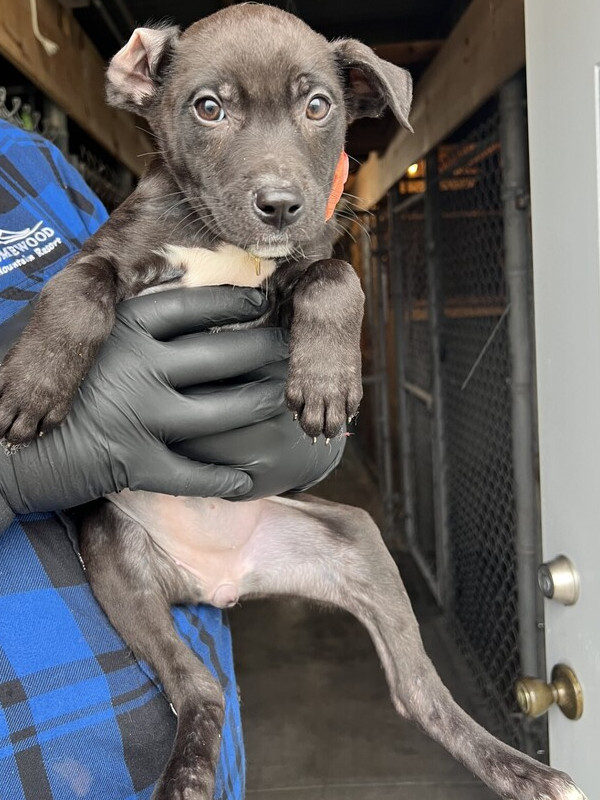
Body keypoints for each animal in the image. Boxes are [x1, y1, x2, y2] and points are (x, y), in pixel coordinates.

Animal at [0, 6, 584, 800]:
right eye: (207, 108)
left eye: (318, 106)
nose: (280, 206)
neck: (217, 239)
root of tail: (216, 581)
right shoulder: (114, 253)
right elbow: (78, 287)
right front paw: (35, 380)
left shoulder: (297, 272)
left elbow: (337, 277)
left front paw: (329, 380)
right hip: (115, 560)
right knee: (201, 687)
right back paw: (187, 774)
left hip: (358, 543)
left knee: (419, 694)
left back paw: (523, 770)